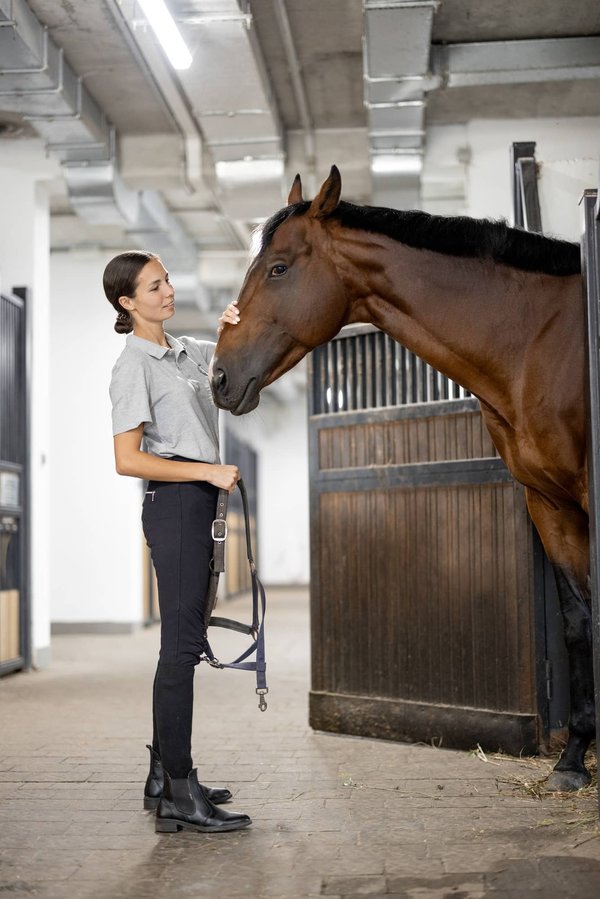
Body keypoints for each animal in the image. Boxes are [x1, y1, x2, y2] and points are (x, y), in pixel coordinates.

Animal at [211, 165, 594, 792]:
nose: (219, 377)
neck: (540, 339)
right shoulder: (550, 503)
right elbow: (580, 621)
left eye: (279, 268)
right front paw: (573, 759)